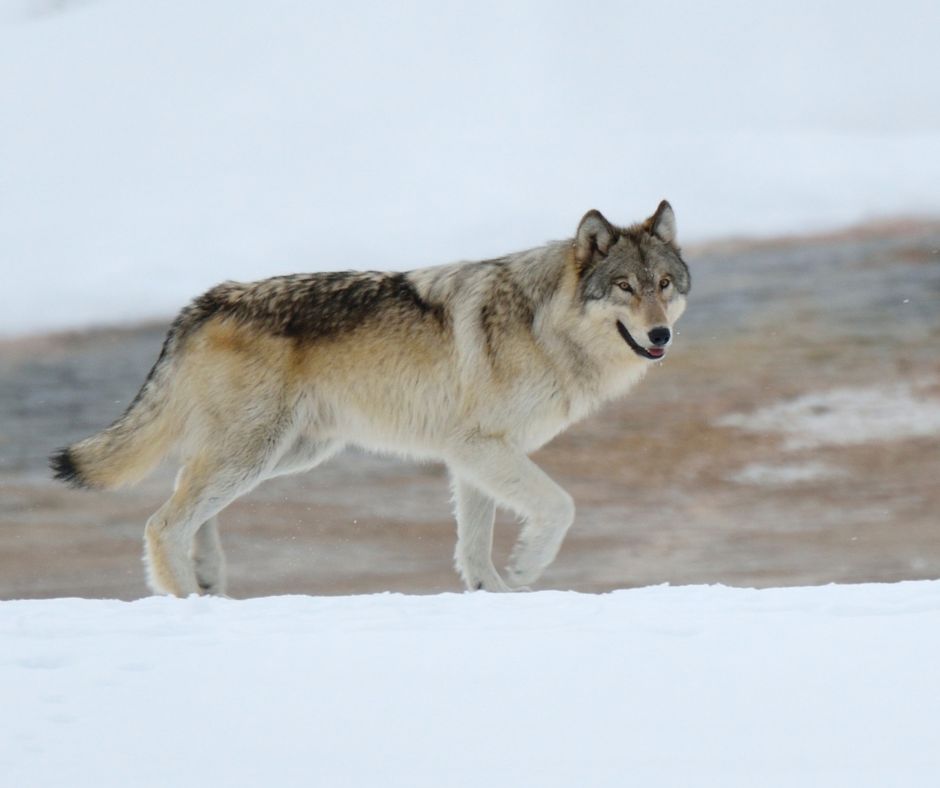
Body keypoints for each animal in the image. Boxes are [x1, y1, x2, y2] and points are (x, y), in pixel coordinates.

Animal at [51, 203, 692, 596]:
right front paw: (526, 566)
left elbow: (474, 547)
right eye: (624, 287)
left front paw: (495, 593)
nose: (661, 335)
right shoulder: (481, 449)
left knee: (183, 492)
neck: (543, 325)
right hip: (255, 454)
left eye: (664, 285)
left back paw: (209, 580)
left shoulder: (472, 456)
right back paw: (189, 603)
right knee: (162, 522)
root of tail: (204, 300)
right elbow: (561, 507)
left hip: (284, 454)